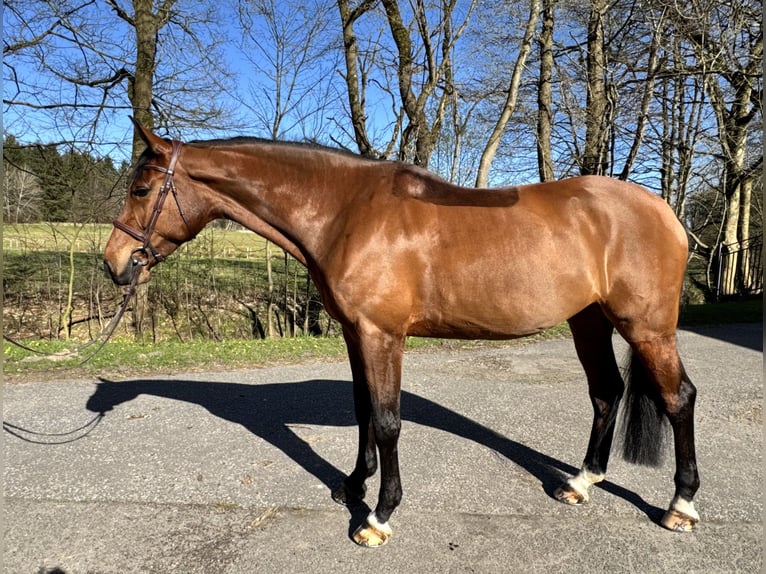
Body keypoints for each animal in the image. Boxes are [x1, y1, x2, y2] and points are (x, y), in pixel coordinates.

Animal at [103, 120, 699, 547]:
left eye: (141, 188)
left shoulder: (382, 335)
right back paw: (579, 483)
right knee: (606, 392)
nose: (115, 263)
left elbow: (388, 421)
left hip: (646, 328)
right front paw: (353, 486)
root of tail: (665, 211)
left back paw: (680, 506)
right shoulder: (355, 334)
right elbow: (364, 409)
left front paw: (379, 516)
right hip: (589, 320)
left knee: (678, 398)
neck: (345, 212)